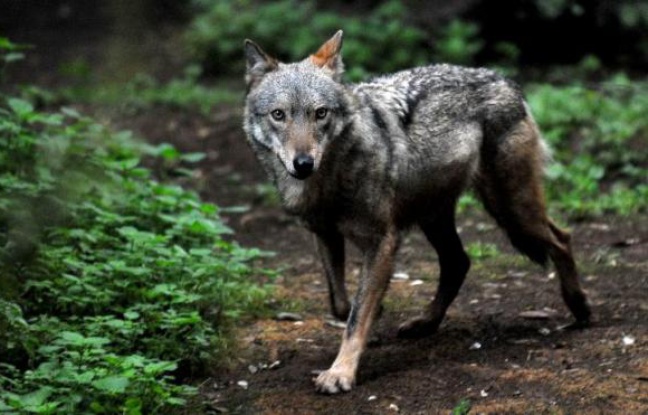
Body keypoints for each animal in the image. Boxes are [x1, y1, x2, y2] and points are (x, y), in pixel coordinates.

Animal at [240, 30, 588, 394]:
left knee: (562, 238)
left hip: (511, 211)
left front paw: (341, 372)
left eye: (320, 113)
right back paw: (425, 323)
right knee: (459, 262)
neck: (329, 182)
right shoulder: (325, 235)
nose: (303, 163)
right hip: (439, 217)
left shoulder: (382, 242)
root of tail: (504, 79)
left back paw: (580, 308)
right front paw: (373, 322)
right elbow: (341, 304)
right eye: (279, 115)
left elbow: (356, 316)